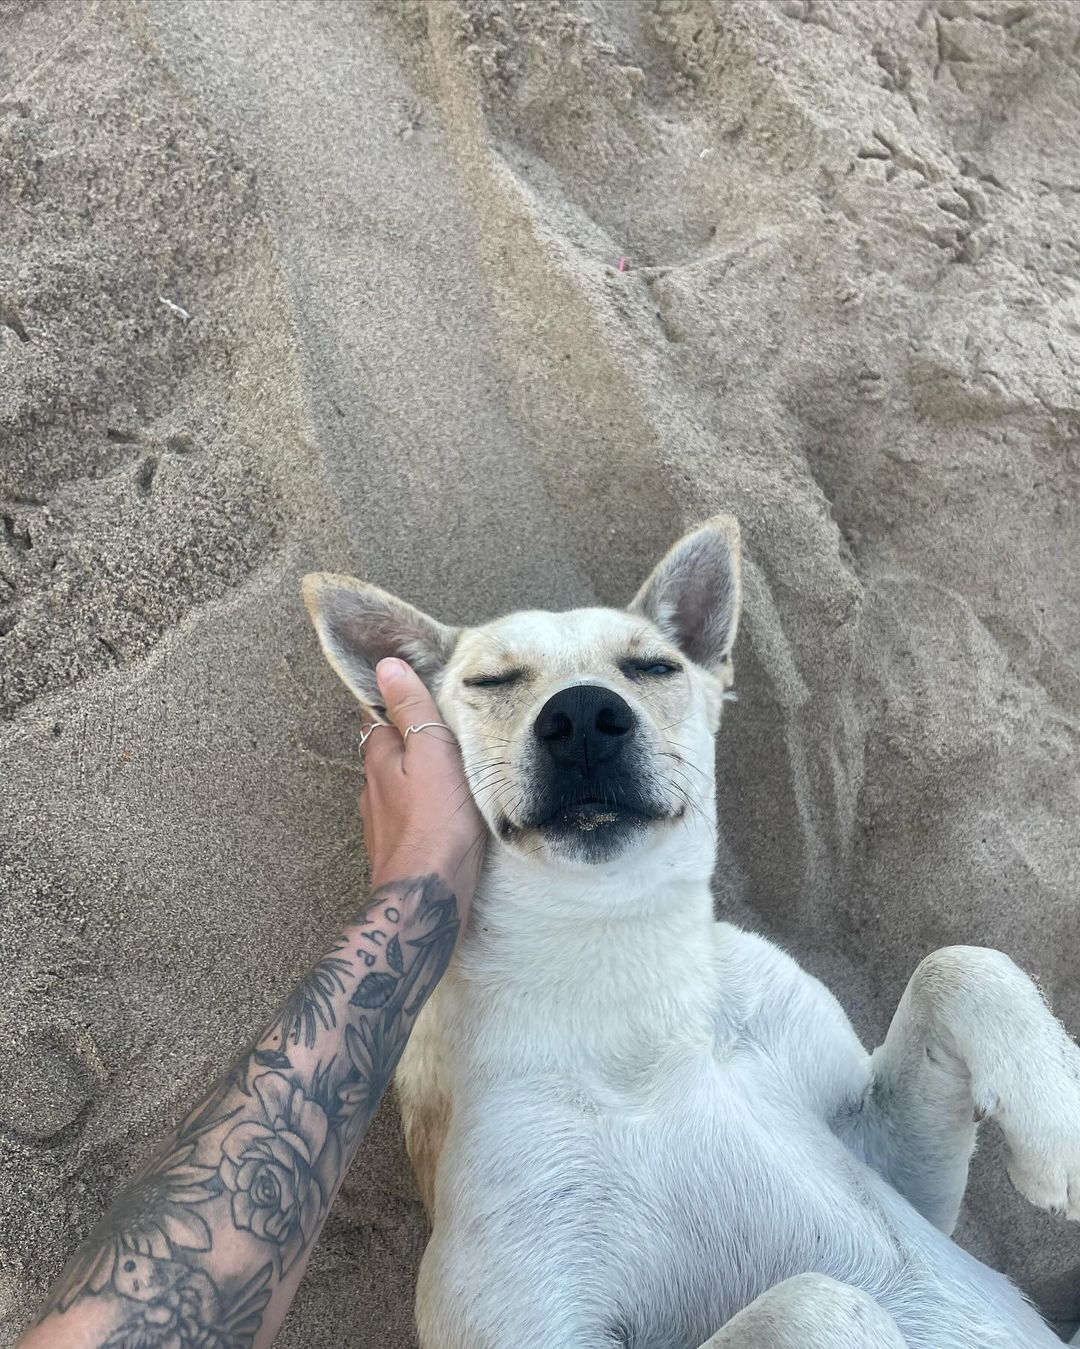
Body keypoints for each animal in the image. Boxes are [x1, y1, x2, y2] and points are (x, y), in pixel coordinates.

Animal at [300, 509, 1078, 1343]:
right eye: (492, 681)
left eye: (652, 666)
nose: (583, 715)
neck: (619, 951)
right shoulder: (525, 1322)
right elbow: (819, 1297)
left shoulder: (887, 1156)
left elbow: (961, 959)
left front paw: (1059, 1129)